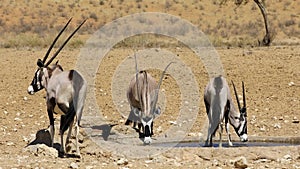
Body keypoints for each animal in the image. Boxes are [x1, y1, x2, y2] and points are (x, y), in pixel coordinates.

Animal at [26, 18, 88, 157]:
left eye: (36, 74)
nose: (29, 89)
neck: (53, 76)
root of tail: (74, 79)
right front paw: (66, 146)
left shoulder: (49, 107)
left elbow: (53, 127)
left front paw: (54, 147)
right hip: (79, 107)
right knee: (75, 125)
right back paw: (77, 153)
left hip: (66, 107)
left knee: (64, 127)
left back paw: (64, 150)